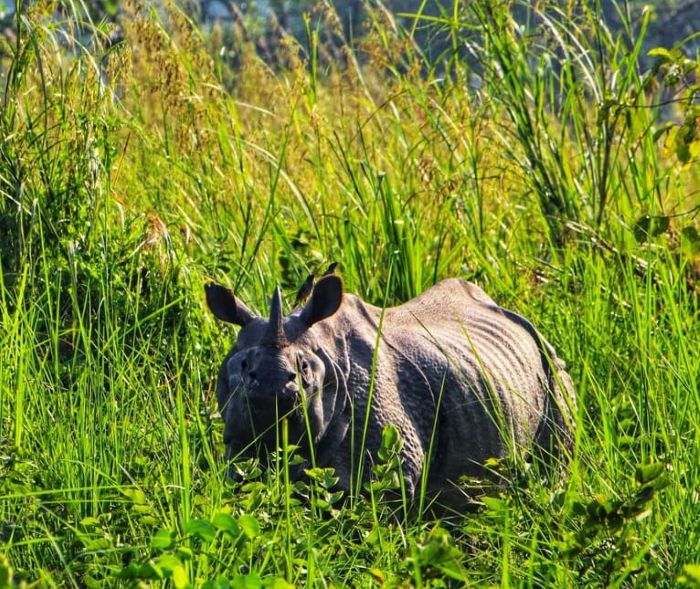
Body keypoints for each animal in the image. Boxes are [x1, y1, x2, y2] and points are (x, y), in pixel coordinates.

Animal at [205, 276, 575, 506]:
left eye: (306, 369)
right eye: (243, 367)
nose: (272, 391)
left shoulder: (389, 469)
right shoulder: (240, 455)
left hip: (552, 363)